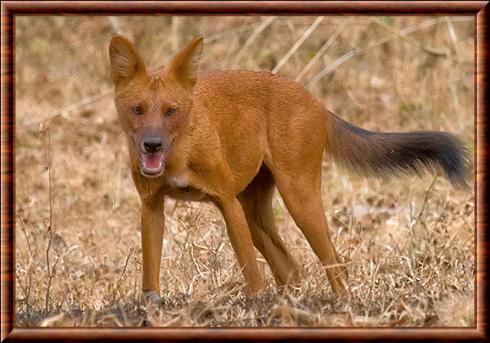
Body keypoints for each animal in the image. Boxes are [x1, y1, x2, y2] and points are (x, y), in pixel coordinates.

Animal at [109, 36, 468, 302]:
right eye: (137, 109)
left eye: (171, 111)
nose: (152, 145)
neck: (179, 156)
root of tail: (315, 100)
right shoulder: (152, 204)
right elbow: (150, 270)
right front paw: (150, 308)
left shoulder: (225, 200)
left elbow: (251, 271)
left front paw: (255, 307)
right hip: (253, 210)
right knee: (292, 268)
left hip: (297, 196)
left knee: (336, 264)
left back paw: (340, 307)